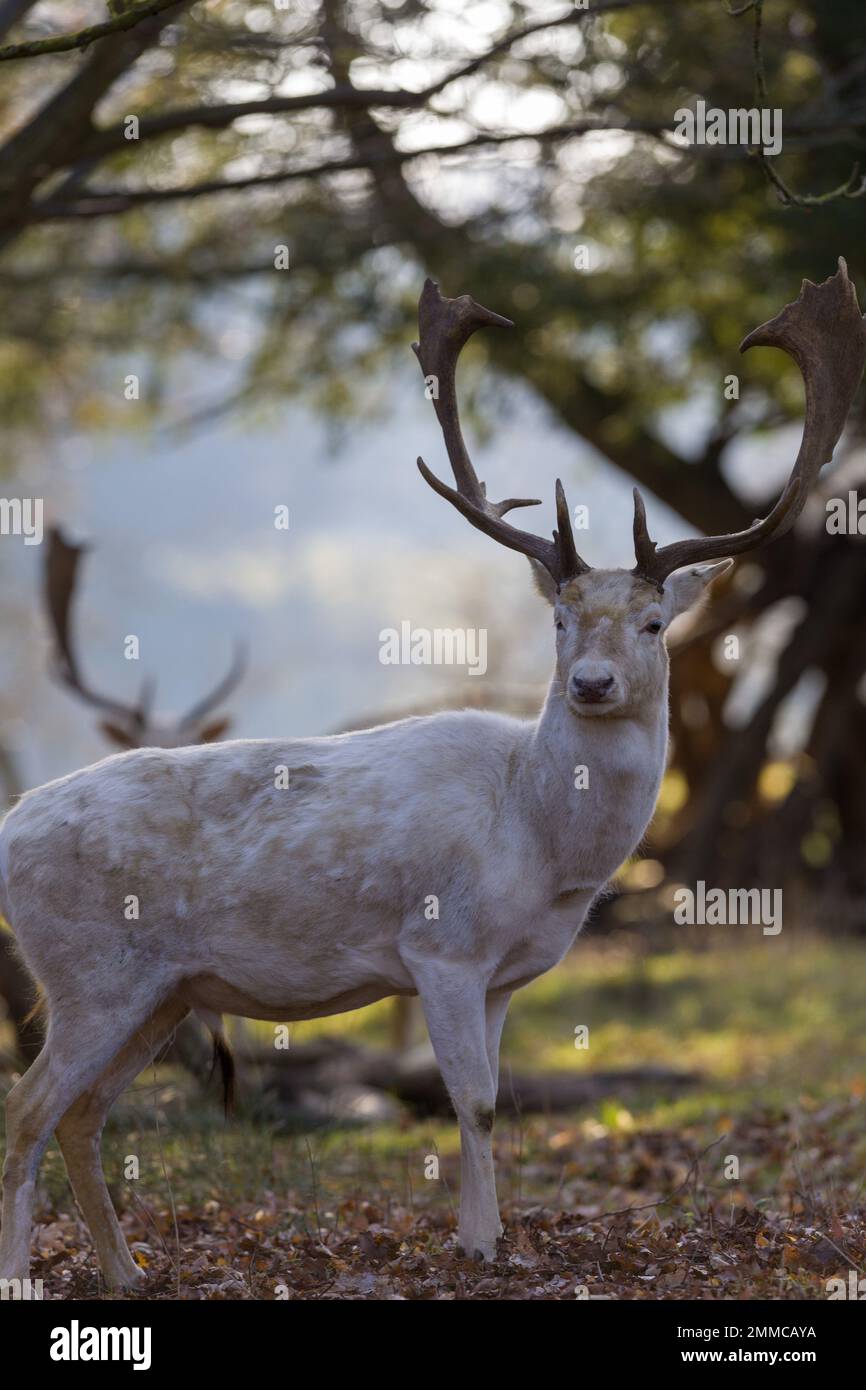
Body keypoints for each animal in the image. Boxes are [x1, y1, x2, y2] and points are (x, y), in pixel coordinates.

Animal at [1, 258, 866, 1278]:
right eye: (560, 616)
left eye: (656, 622)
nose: (593, 682)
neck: (541, 846)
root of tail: (9, 827)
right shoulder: (440, 947)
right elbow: (478, 1100)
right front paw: (485, 1245)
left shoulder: (502, 976)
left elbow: (493, 1096)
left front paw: (481, 1234)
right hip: (89, 970)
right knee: (26, 1109)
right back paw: (27, 1274)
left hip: (160, 991)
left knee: (81, 1115)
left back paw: (129, 1275)